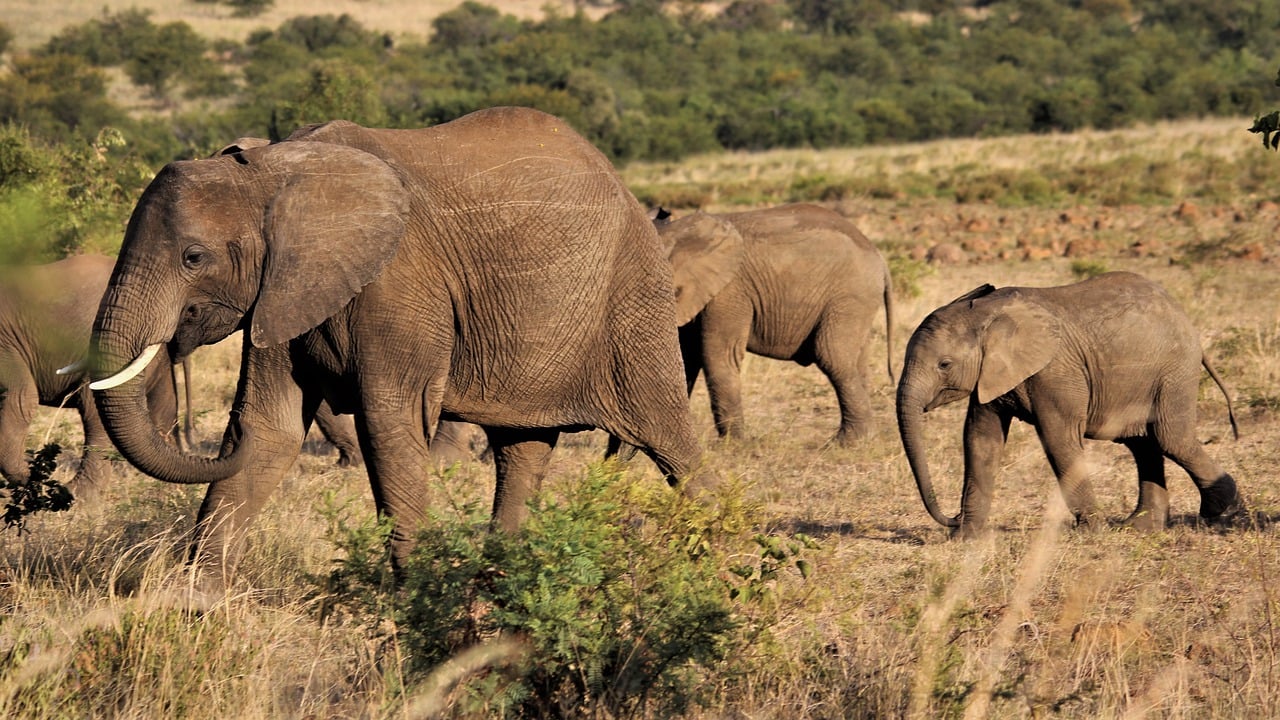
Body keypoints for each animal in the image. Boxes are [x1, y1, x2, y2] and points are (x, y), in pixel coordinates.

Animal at [0, 254, 190, 501]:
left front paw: (35, 479)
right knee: (162, 416)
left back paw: (76, 498)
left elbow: (22, 397)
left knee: (96, 412)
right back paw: (175, 496)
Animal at [86, 106, 703, 585]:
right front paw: (193, 603)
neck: (273, 173)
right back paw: (499, 584)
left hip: (633, 300)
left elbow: (389, 424)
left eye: (193, 257)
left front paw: (415, 608)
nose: (208, 440)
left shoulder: (396, 282)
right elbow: (269, 428)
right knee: (521, 451)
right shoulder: (283, 289)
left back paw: (719, 561)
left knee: (673, 442)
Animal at [652, 203, 894, 445]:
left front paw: (731, 445)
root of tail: (880, 258)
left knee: (832, 356)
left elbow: (719, 355)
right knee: (856, 362)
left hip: (850, 296)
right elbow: (685, 356)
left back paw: (846, 442)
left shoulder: (729, 291)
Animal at [896, 271, 1244, 536]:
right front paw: (966, 538)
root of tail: (1182, 313)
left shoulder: (1055, 373)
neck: (984, 313)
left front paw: (1092, 532)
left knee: (1171, 438)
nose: (952, 518)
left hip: (1175, 370)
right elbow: (980, 439)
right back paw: (1141, 527)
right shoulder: (991, 375)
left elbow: (1057, 439)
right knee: (1143, 443)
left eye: (944, 364)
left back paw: (1223, 513)